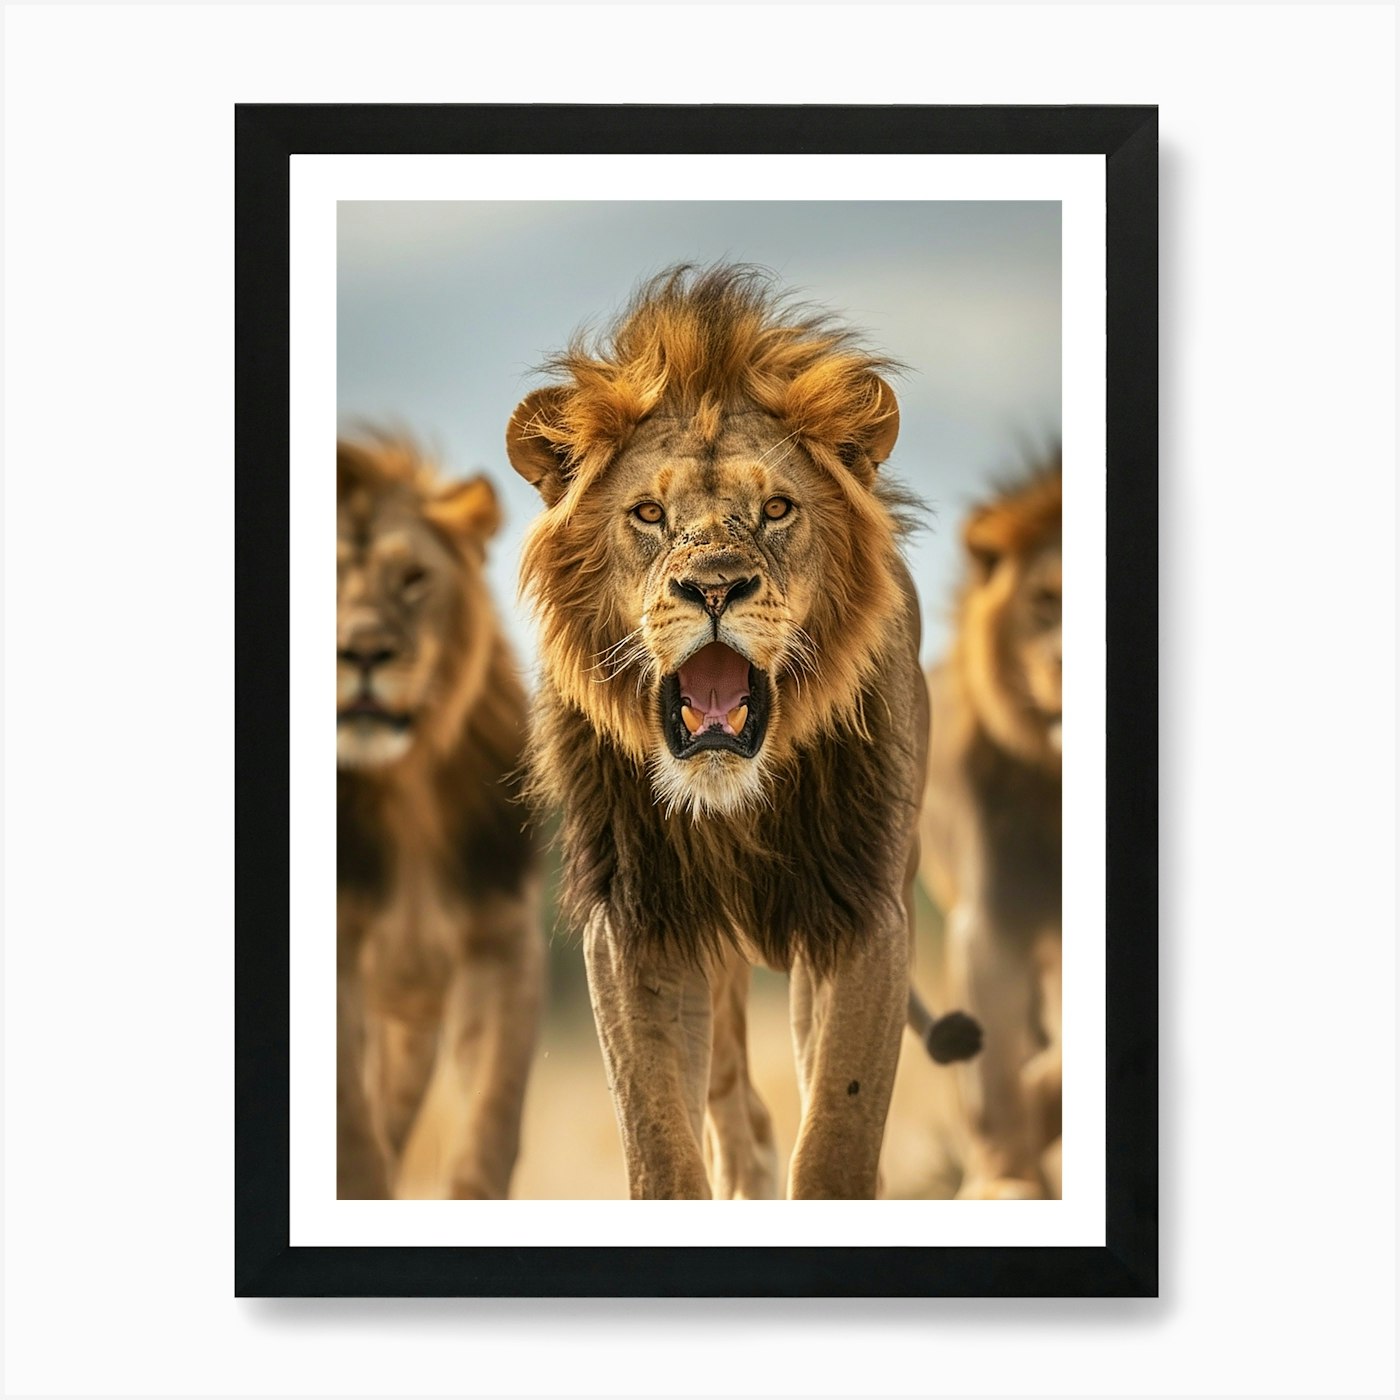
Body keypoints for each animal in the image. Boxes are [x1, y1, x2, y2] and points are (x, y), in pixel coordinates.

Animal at [336, 434, 543, 1199]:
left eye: (414, 579)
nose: (363, 653)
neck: (405, 789)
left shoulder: (501, 940)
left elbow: (491, 1117)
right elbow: (350, 1129)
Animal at [507, 265, 978, 1200]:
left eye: (778, 508)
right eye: (649, 513)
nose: (715, 587)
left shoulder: (863, 910)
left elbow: (837, 1132)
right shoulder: (638, 918)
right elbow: (658, 1140)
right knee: (731, 1098)